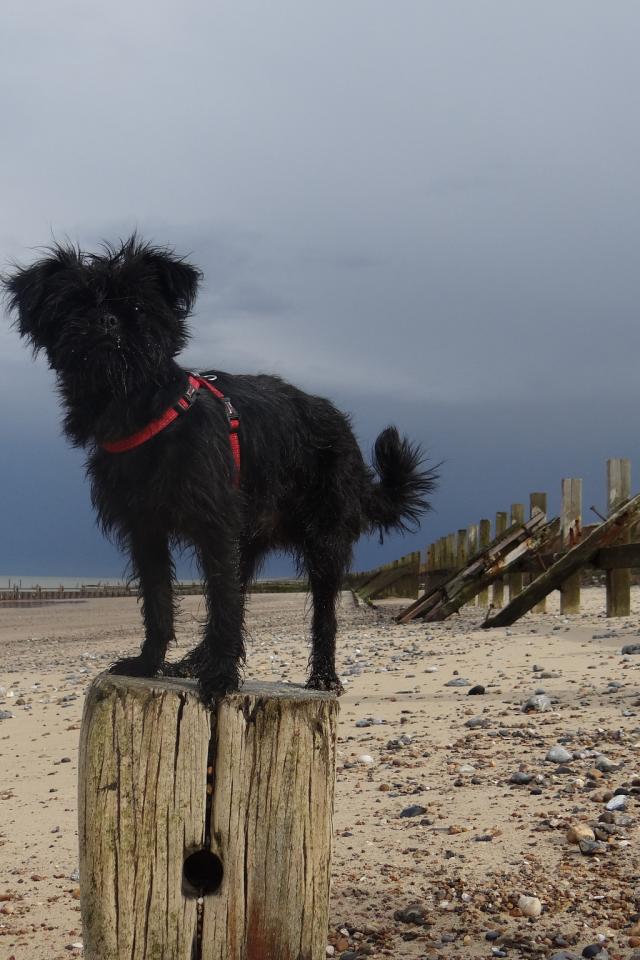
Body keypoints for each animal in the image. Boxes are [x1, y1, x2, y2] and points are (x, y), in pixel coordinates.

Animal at [2, 237, 437, 703]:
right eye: (75, 305)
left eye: (137, 306)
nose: (106, 320)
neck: (140, 411)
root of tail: (346, 433)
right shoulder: (146, 530)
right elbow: (160, 601)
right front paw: (149, 663)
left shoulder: (214, 527)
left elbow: (224, 606)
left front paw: (222, 677)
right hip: (247, 541)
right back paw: (192, 662)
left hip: (324, 541)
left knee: (321, 613)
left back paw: (322, 677)